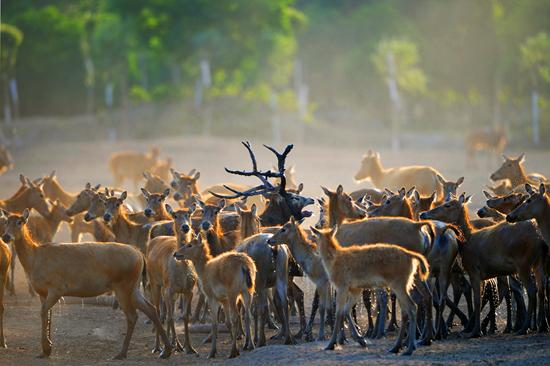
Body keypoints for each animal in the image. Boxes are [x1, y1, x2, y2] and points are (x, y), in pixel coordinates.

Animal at [0, 209, 172, 360]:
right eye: (6, 221)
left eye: (20, 222)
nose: (6, 236)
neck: (34, 260)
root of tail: (140, 255)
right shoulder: (42, 292)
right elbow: (48, 314)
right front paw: (46, 349)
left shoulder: (57, 288)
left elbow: (43, 313)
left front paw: (46, 348)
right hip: (134, 287)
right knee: (151, 308)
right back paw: (166, 350)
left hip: (123, 285)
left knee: (132, 315)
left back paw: (122, 353)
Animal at [147, 203, 198, 354]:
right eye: (175, 215)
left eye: (189, 214)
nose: (185, 227)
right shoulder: (169, 288)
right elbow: (169, 316)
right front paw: (166, 348)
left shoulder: (189, 289)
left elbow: (184, 317)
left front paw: (189, 347)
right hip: (155, 281)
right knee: (158, 311)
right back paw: (158, 346)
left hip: (170, 291)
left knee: (168, 312)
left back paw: (175, 344)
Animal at [310, 227, 432, 356]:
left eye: (315, 236)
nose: (314, 248)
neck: (333, 261)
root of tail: (411, 255)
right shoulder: (355, 288)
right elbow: (346, 310)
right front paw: (360, 339)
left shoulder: (342, 286)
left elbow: (338, 313)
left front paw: (331, 344)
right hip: (404, 285)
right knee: (406, 310)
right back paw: (397, 347)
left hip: (399, 284)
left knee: (412, 307)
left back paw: (408, 349)